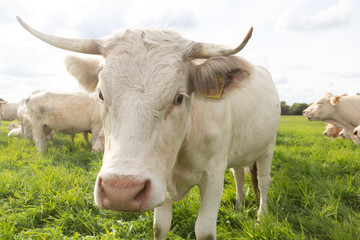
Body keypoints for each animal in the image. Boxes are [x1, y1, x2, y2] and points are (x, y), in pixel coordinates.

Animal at [17, 15, 282, 239]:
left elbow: (204, 230)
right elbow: (159, 226)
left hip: (268, 147)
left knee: (264, 181)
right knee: (239, 174)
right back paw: (239, 205)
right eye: (101, 94)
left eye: (179, 97)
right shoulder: (160, 179)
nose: (120, 191)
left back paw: (261, 216)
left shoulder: (213, 175)